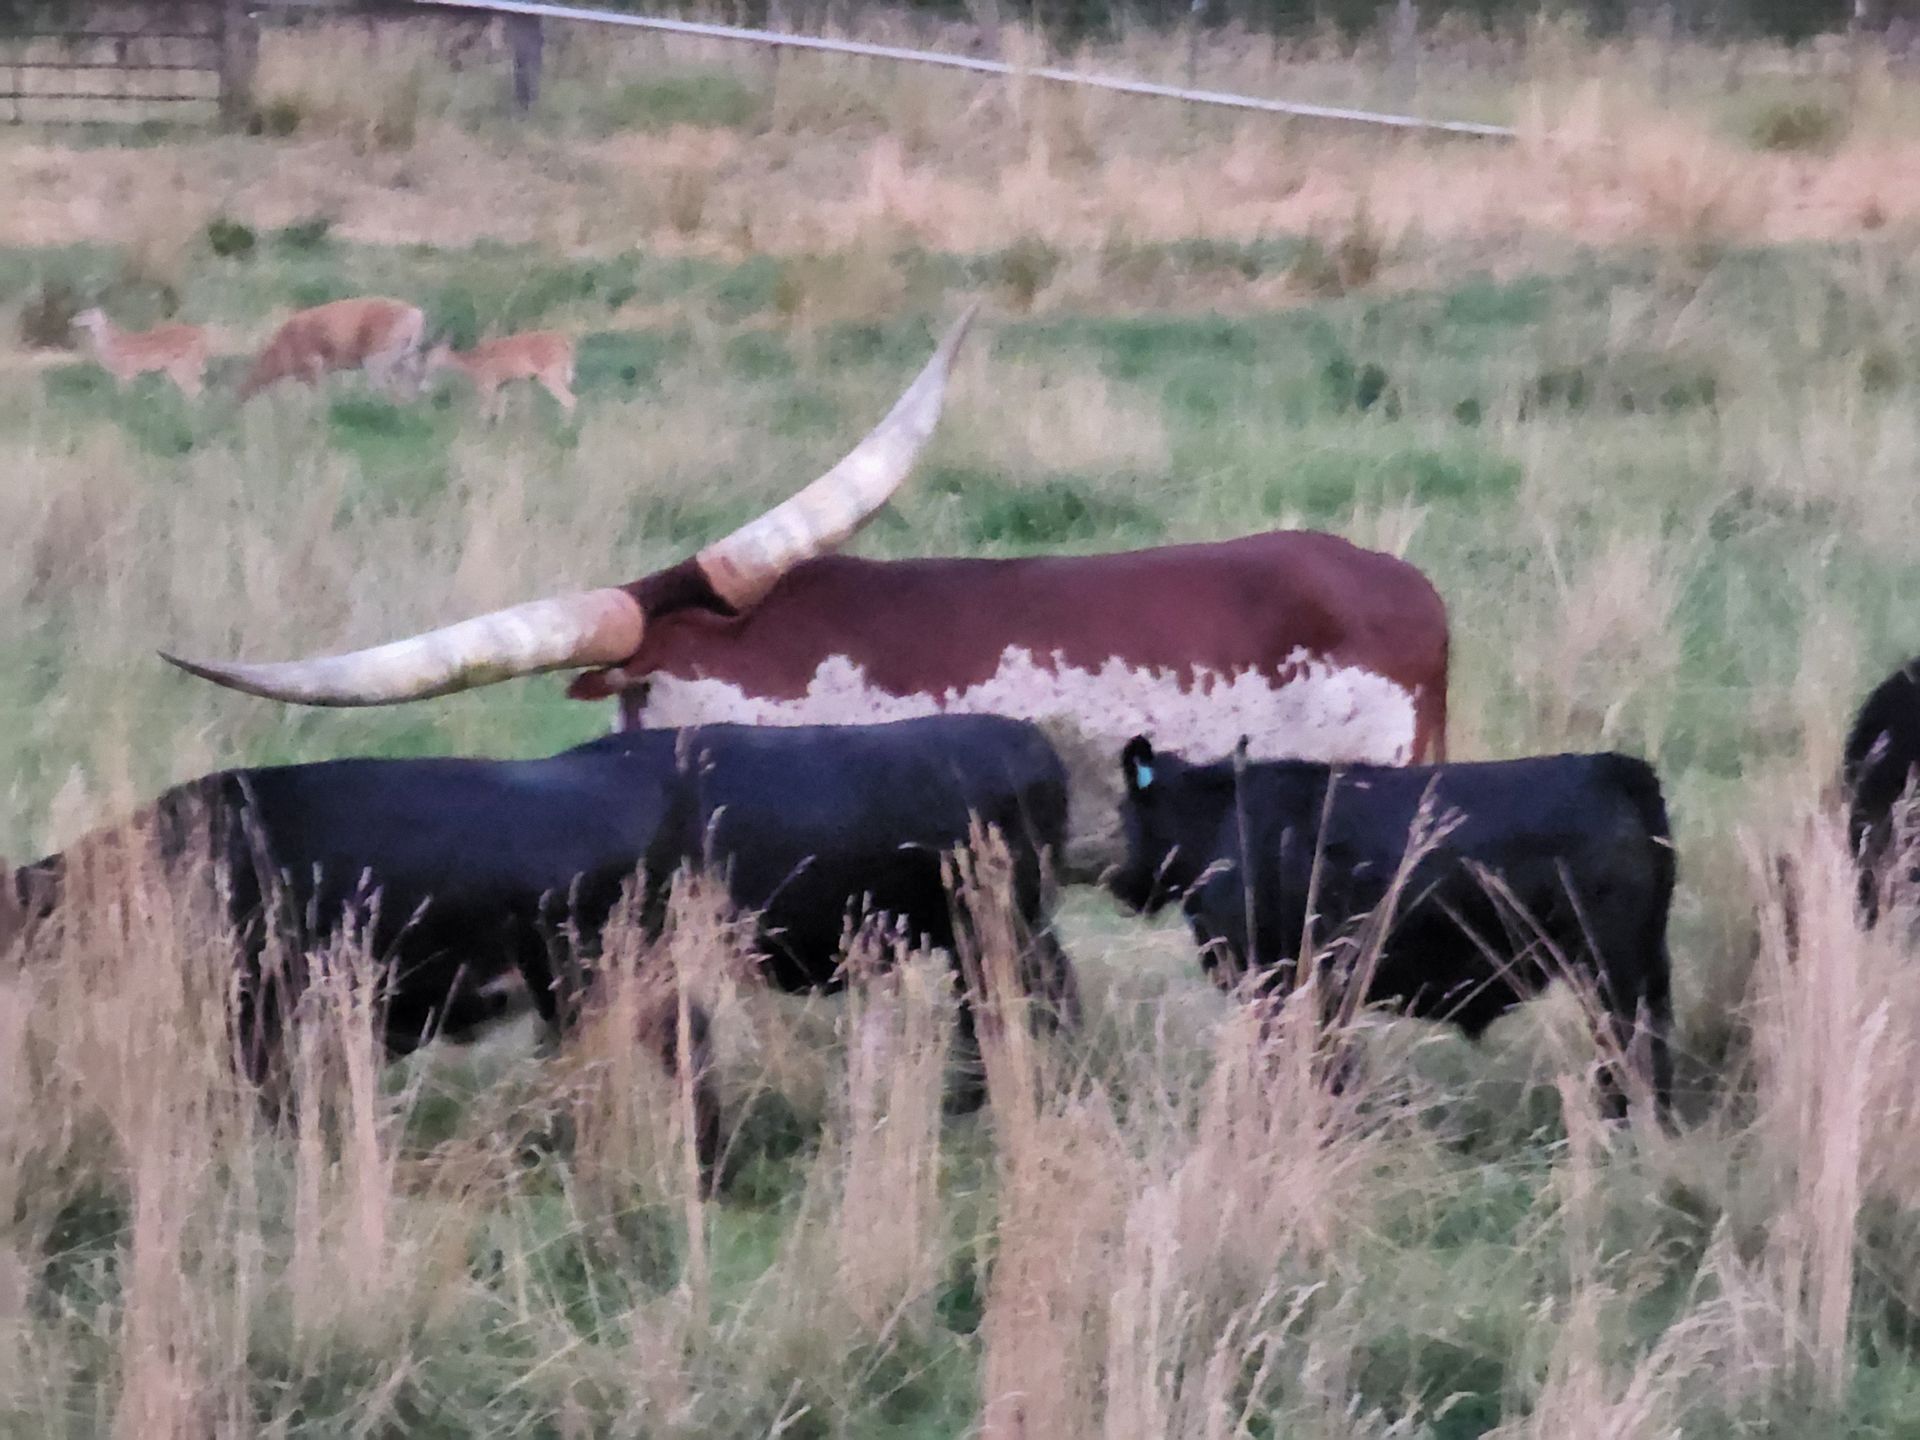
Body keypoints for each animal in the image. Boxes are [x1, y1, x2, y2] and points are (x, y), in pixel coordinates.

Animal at [1105, 738, 1677, 1120]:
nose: (1116, 878)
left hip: (1610, 969)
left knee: (1627, 1051)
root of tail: (1613, 766)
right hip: (1644, 967)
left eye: (1123, 812)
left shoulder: (1279, 983)